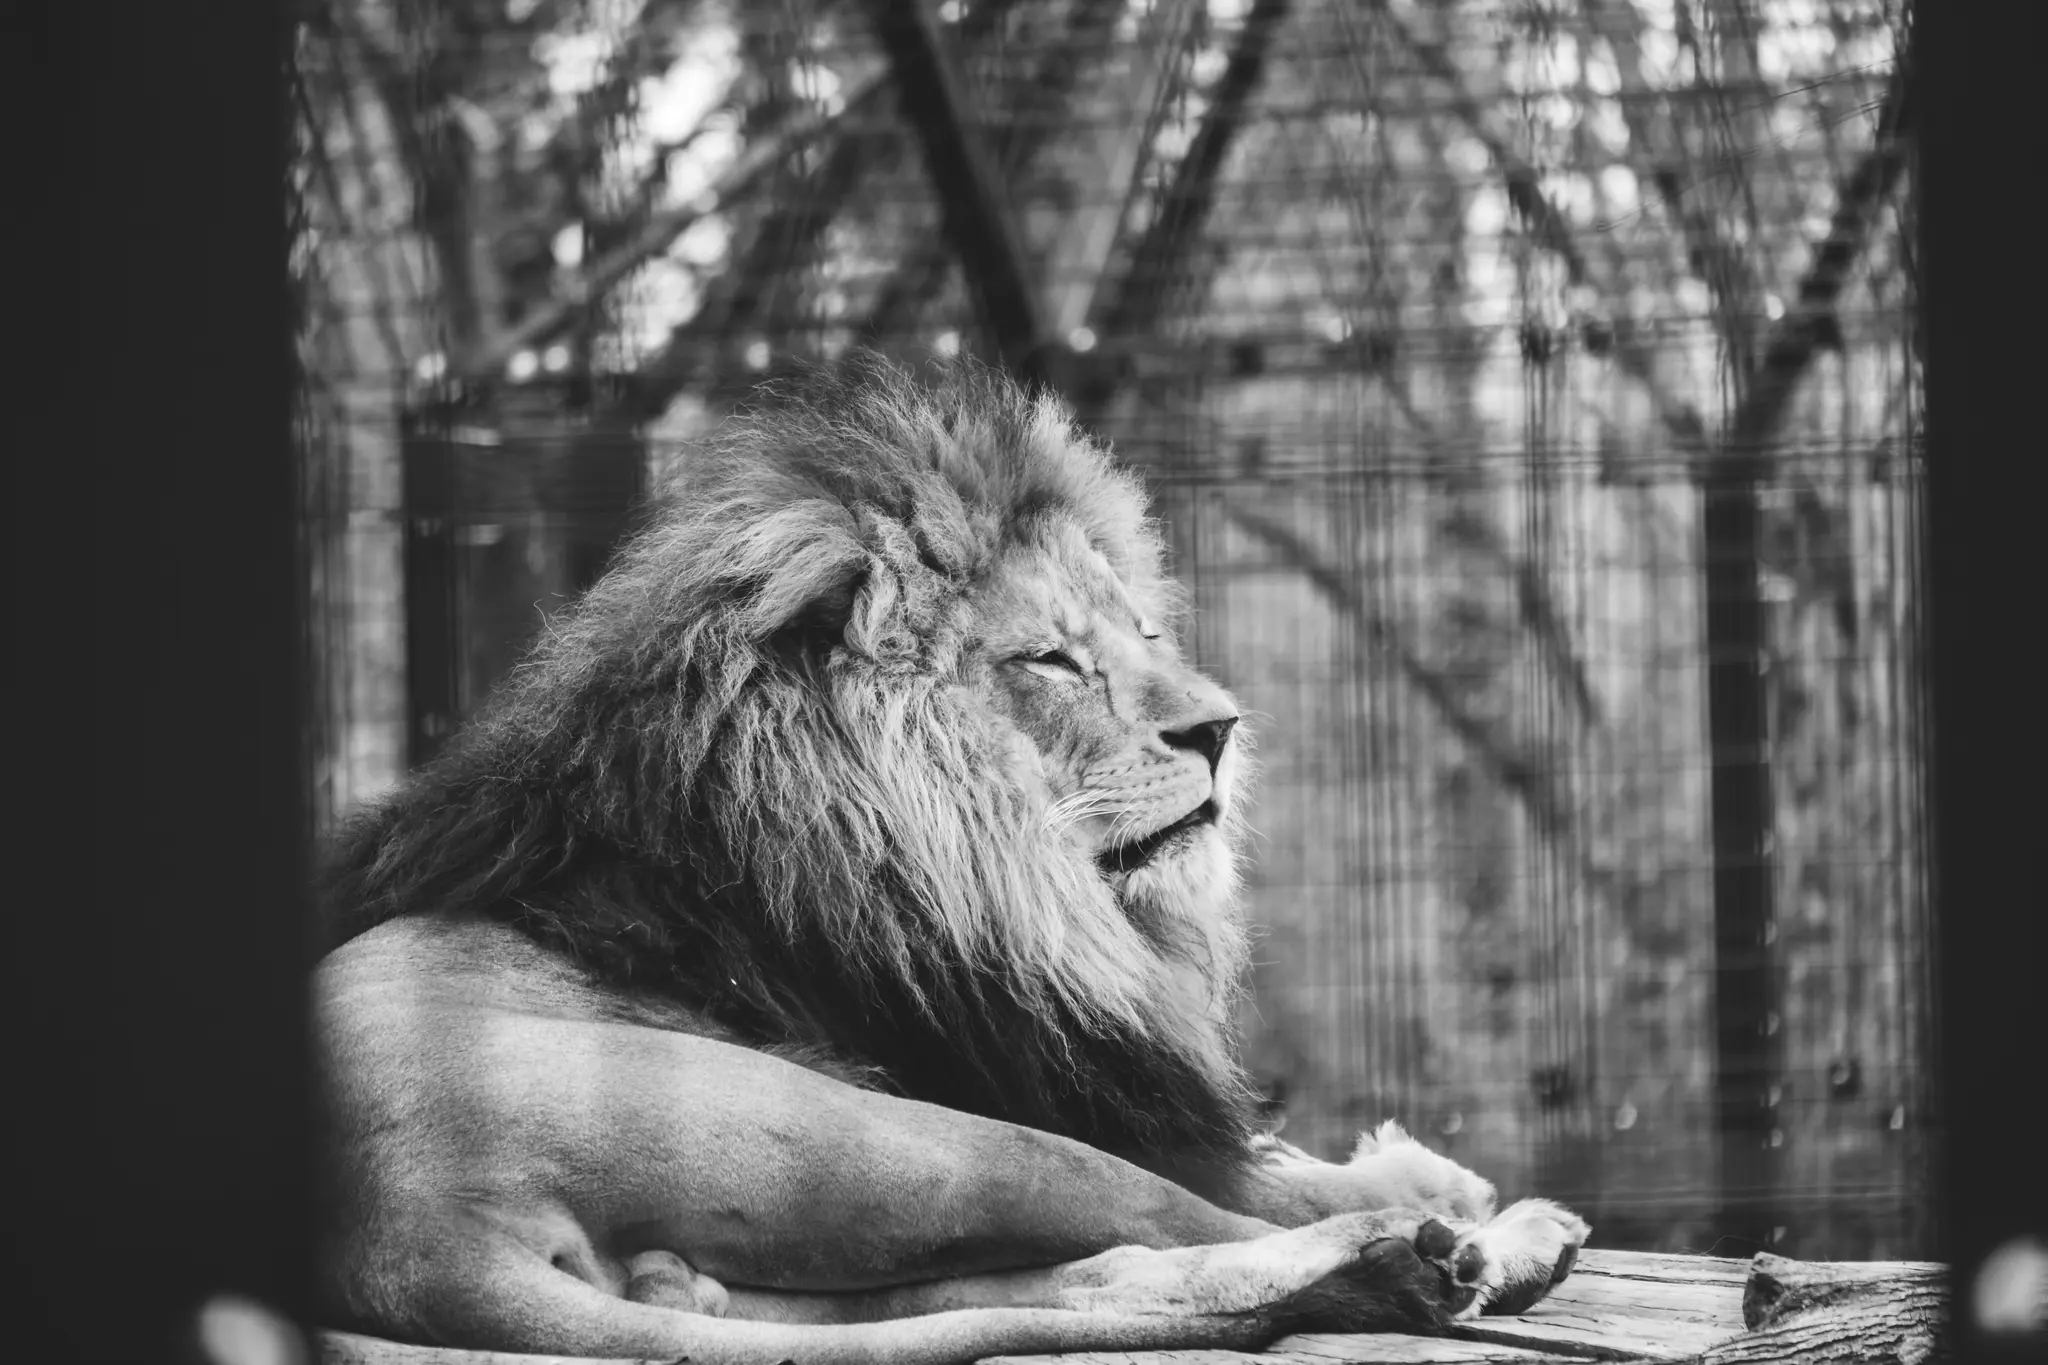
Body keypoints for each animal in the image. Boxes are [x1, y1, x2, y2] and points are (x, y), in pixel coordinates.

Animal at [314, 357, 1587, 1363]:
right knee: (1185, 1226)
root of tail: (401, 1233)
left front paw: (1423, 1178)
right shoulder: (1033, 1077)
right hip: (909, 1136)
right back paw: (1464, 1251)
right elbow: (1253, 1171)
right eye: (1053, 661)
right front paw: (1427, 1188)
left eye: (1145, 634)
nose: (1220, 729)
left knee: (1075, 1279)